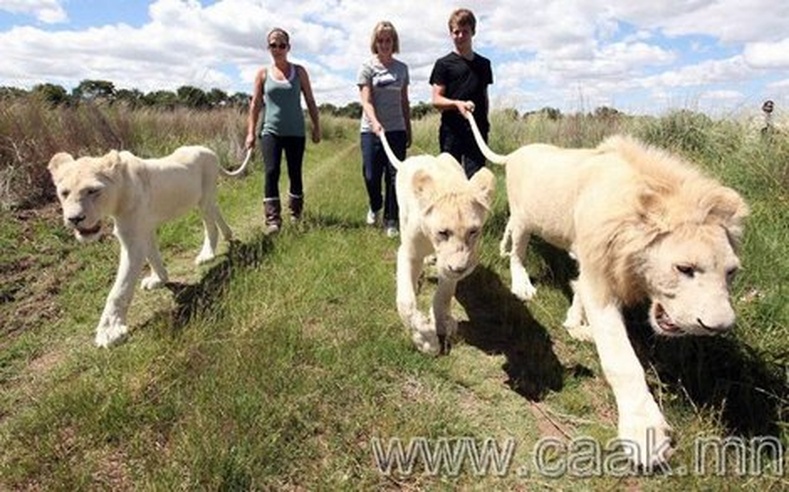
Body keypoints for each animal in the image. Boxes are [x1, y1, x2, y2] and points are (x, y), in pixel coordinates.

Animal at [47, 144, 249, 348]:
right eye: (64, 193)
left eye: (92, 191)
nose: (74, 218)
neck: (119, 193)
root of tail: (208, 149)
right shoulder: (145, 228)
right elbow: (152, 255)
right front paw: (159, 279)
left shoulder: (133, 239)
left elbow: (120, 289)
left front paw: (110, 330)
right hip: (205, 199)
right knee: (216, 209)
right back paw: (228, 234)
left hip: (204, 197)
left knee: (210, 224)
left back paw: (207, 254)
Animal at [378, 131, 496, 354]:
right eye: (443, 232)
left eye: (473, 231)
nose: (460, 269)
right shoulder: (409, 253)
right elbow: (405, 302)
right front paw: (426, 340)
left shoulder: (448, 266)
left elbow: (444, 295)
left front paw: (441, 323)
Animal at [464, 112, 748, 468]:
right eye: (685, 269)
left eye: (731, 272)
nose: (719, 327)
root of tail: (517, 152)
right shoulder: (599, 275)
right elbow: (621, 358)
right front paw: (644, 432)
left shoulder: (590, 262)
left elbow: (578, 294)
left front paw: (575, 324)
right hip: (526, 218)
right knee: (518, 250)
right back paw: (521, 284)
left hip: (521, 217)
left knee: (509, 229)